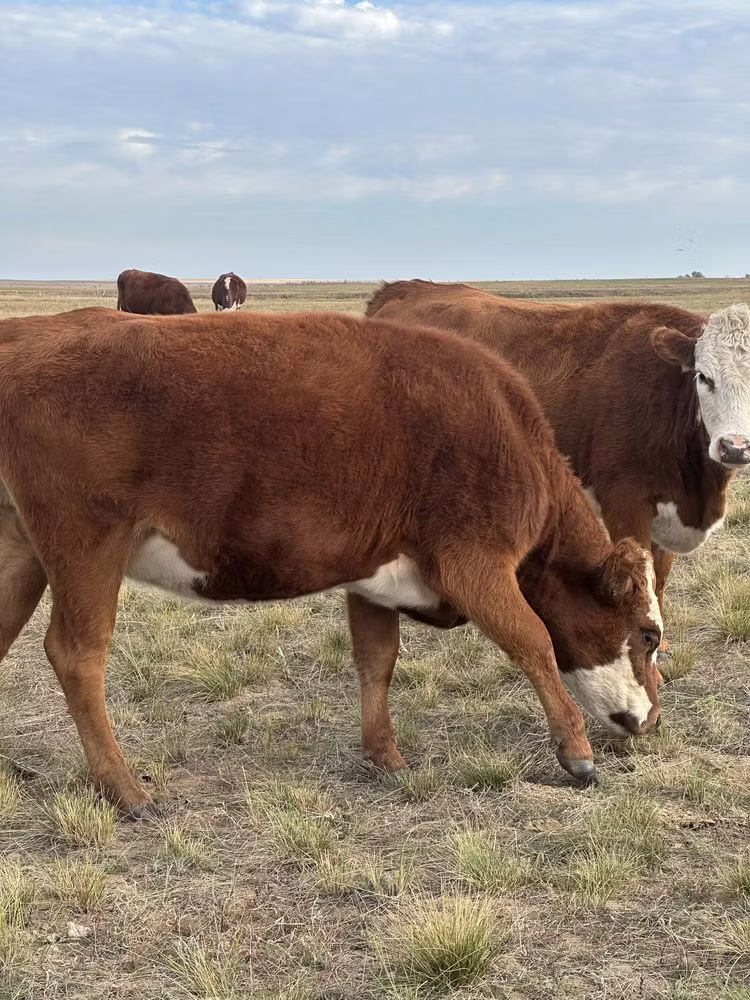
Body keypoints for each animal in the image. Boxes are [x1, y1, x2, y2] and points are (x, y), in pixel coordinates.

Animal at [0, 307, 662, 817]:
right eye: (650, 634)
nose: (653, 718)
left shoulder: (374, 578)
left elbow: (377, 660)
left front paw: (385, 756)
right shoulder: (475, 564)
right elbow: (533, 642)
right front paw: (576, 752)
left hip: (23, 552)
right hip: (86, 543)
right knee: (77, 654)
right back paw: (126, 790)